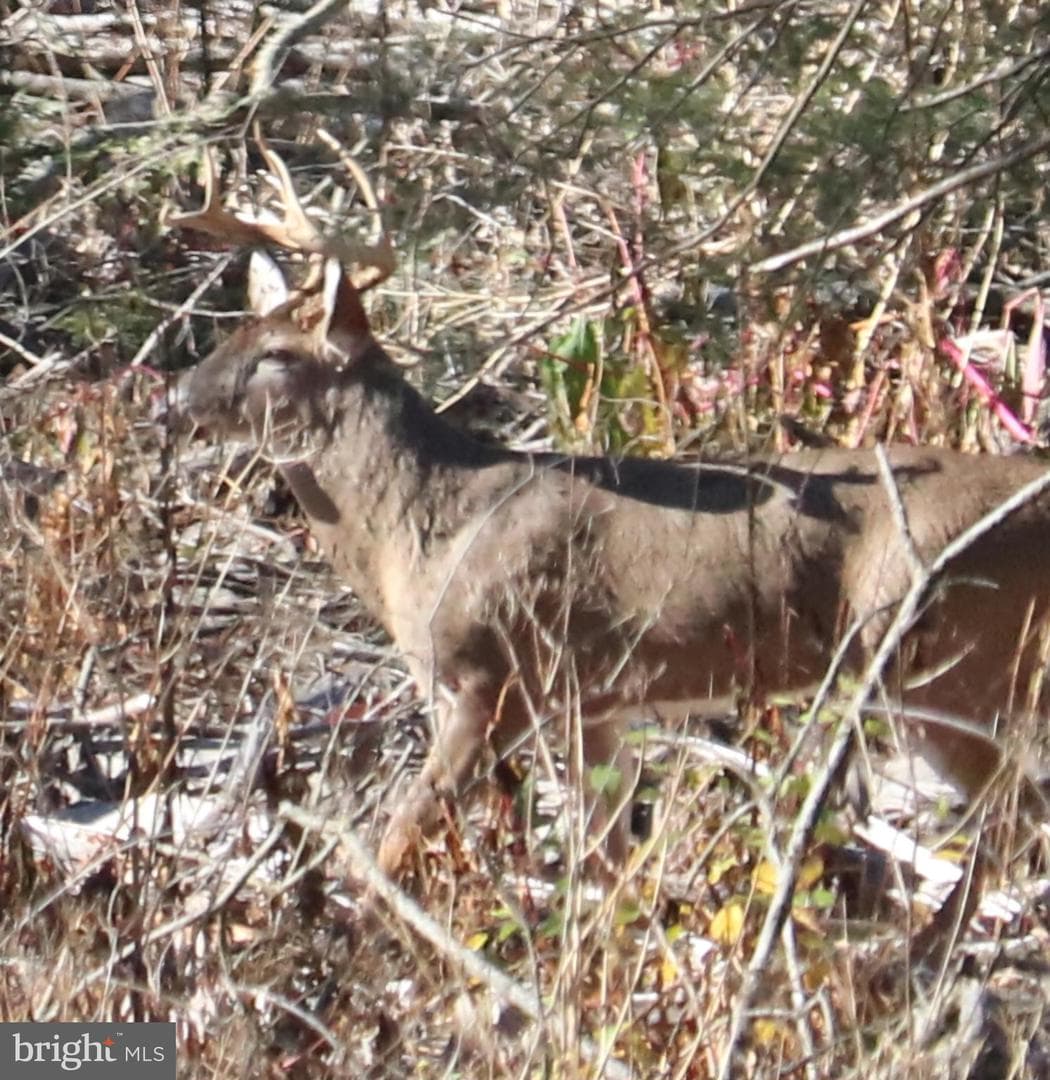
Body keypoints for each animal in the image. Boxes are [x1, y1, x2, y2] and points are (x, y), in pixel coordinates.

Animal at [173, 140, 1050, 883]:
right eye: (232, 334)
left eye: (277, 355)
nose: (173, 397)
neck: (423, 526)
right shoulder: (592, 703)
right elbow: (604, 862)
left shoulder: (492, 676)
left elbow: (395, 842)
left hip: (939, 657)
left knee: (1014, 824)